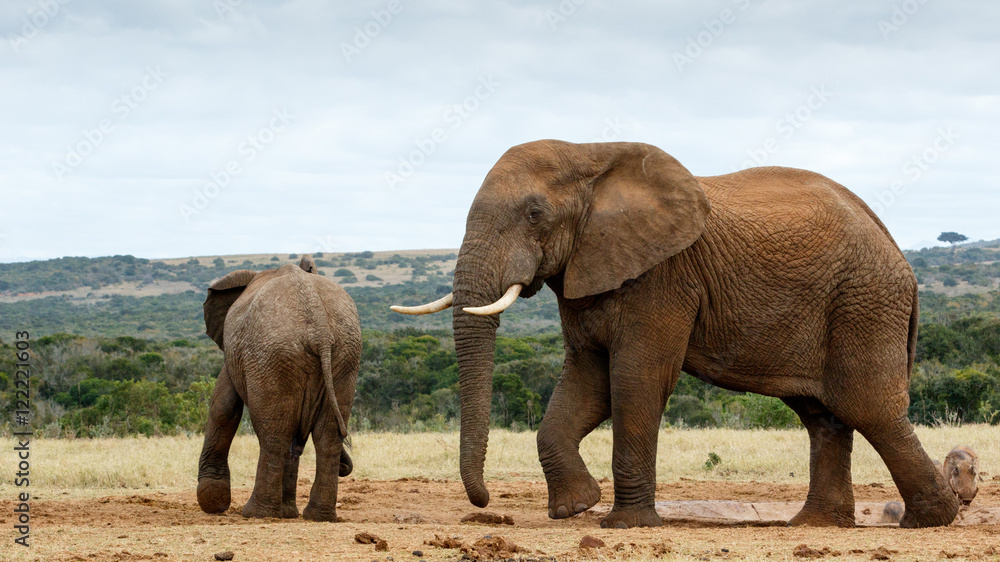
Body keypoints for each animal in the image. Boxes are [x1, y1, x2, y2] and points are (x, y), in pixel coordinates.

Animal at [197, 261, 361, 521]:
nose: (345, 468)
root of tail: (320, 330)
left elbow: (224, 405)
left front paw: (212, 502)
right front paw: (287, 513)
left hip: (273, 356)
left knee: (275, 434)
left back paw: (256, 513)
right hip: (343, 357)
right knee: (325, 435)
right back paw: (316, 516)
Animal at [391, 140, 960, 529]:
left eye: (535, 214)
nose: (484, 502)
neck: (590, 154)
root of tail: (898, 252)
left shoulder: (662, 276)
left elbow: (635, 380)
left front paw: (623, 525)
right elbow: (588, 383)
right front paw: (575, 507)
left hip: (863, 301)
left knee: (868, 406)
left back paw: (932, 519)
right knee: (822, 413)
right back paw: (815, 524)